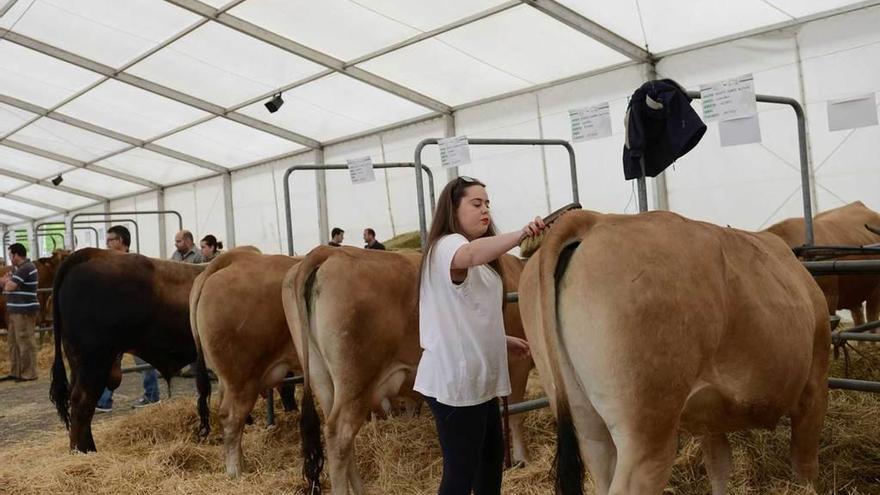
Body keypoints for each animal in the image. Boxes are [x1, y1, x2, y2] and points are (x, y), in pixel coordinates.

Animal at [520, 210, 828, 495]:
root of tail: (595, 219)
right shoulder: (814, 387)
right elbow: (805, 465)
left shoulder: (710, 412)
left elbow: (719, 464)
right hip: (646, 431)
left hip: (586, 422)